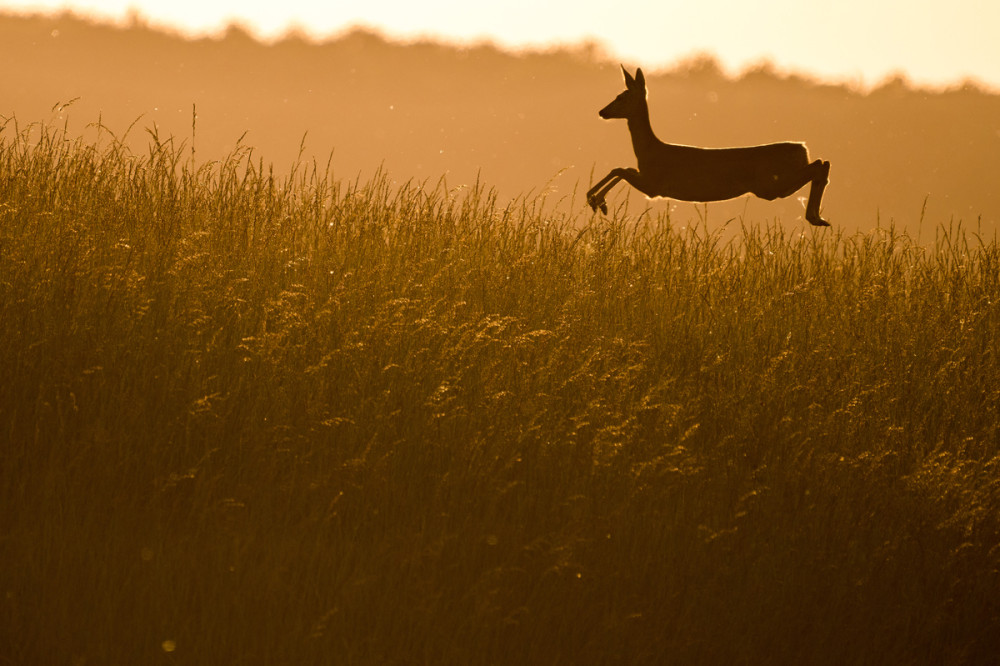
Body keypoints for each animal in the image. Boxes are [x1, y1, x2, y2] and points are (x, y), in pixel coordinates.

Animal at [584, 65, 828, 226]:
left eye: (621, 97)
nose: (602, 111)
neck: (648, 151)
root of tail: (802, 148)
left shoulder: (654, 185)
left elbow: (619, 169)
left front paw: (596, 201)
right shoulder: (647, 179)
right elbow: (621, 169)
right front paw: (597, 201)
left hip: (770, 185)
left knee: (819, 164)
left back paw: (815, 217)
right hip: (775, 185)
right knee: (821, 162)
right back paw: (818, 218)